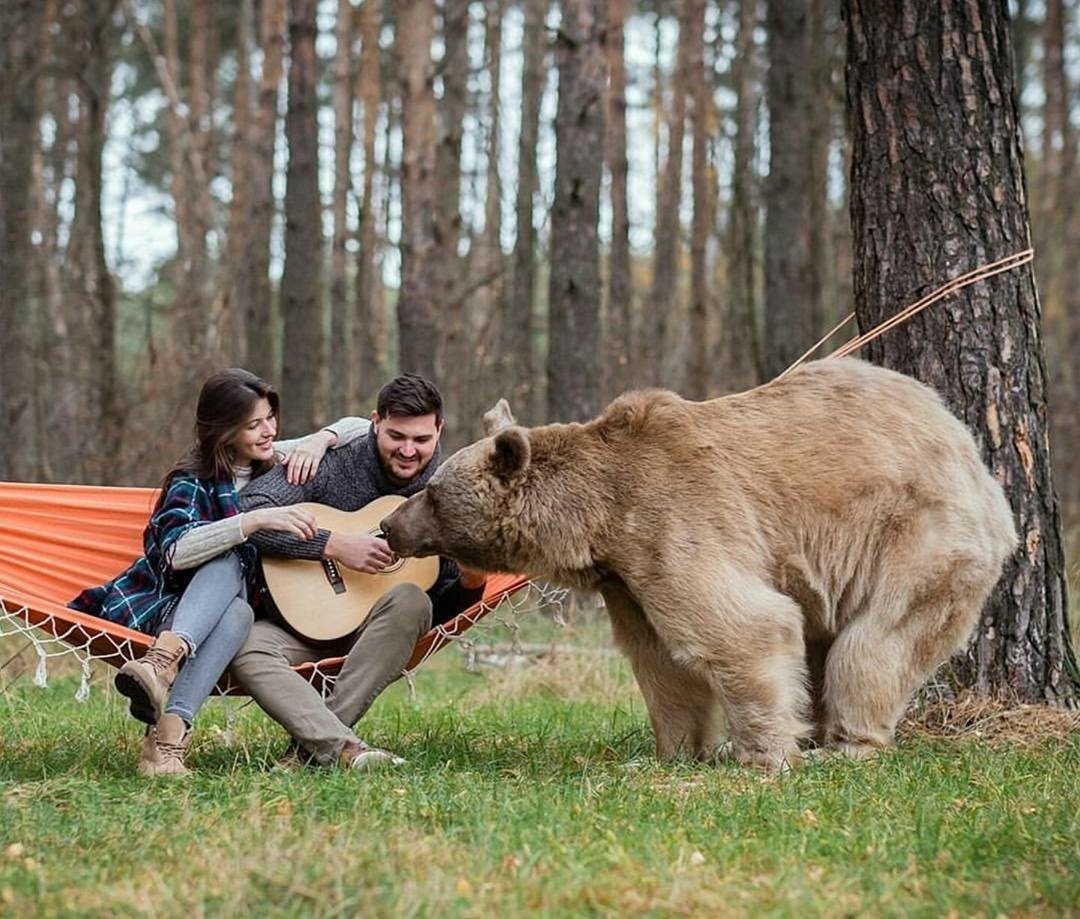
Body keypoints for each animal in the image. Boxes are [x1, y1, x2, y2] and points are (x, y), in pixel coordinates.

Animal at [382, 358, 1019, 768]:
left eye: (433, 492)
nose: (390, 525)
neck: (601, 519)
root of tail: (967, 448)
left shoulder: (676, 520)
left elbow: (741, 628)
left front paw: (761, 754)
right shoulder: (629, 576)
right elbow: (661, 661)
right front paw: (668, 753)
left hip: (919, 535)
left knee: (878, 641)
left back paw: (846, 745)